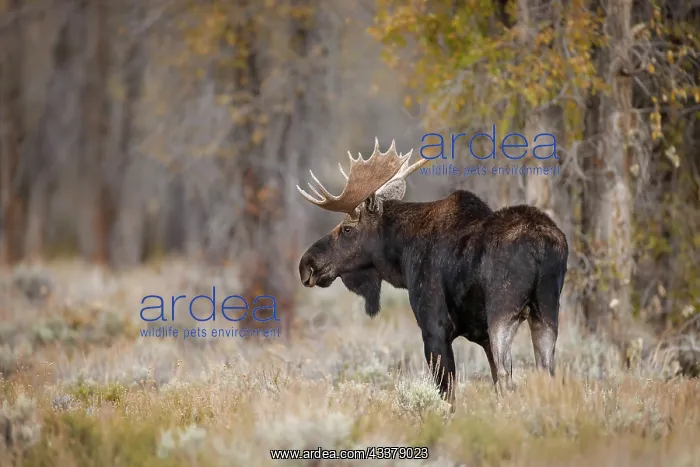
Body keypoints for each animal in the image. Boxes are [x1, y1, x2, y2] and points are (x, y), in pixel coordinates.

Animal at [296, 138, 568, 407]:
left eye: (347, 229)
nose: (306, 264)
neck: (401, 255)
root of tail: (541, 247)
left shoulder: (434, 328)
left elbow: (448, 396)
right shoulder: (481, 337)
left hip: (502, 312)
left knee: (507, 377)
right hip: (546, 312)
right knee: (546, 373)